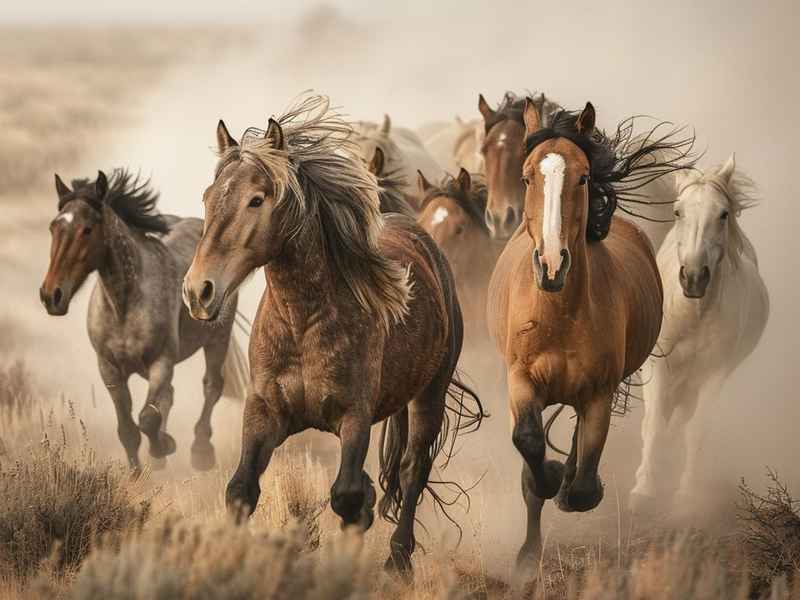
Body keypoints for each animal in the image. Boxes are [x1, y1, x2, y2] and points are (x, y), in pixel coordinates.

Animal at [39, 170, 248, 472]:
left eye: (87, 229)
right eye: (53, 228)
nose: (51, 295)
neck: (124, 305)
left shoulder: (162, 361)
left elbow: (147, 418)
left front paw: (164, 447)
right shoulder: (109, 369)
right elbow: (128, 427)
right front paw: (139, 469)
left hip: (218, 337)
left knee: (212, 386)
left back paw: (201, 452)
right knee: (170, 396)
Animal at [182, 96, 485, 574]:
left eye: (256, 200)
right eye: (208, 197)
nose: (198, 291)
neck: (303, 320)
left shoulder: (354, 416)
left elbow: (346, 497)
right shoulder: (265, 411)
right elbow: (241, 489)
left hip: (429, 395)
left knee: (413, 469)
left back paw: (399, 558)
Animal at [630, 156, 769, 509]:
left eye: (723, 214)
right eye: (678, 211)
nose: (693, 277)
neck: (691, 313)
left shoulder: (714, 372)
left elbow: (695, 430)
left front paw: (686, 495)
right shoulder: (658, 366)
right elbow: (654, 424)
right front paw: (643, 490)